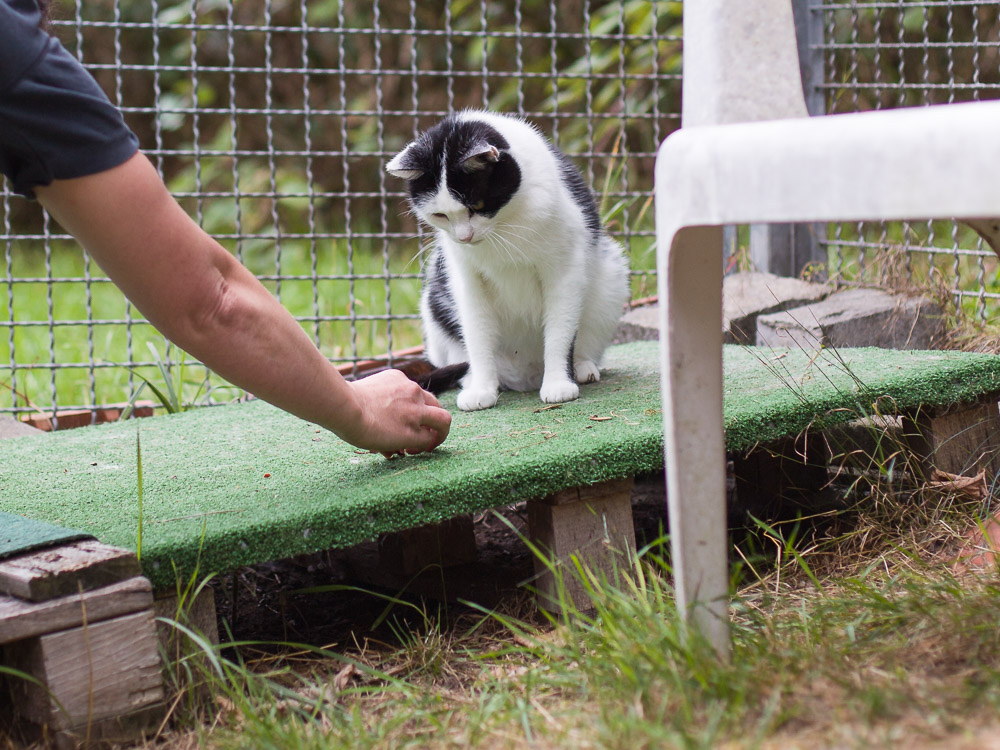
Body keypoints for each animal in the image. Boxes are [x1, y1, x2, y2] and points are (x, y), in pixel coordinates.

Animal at [386, 111, 628, 414]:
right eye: (440, 215)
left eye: (477, 205)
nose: (464, 237)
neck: (503, 226)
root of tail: (525, 376)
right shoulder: (467, 279)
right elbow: (477, 334)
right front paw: (482, 388)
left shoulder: (564, 271)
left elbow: (560, 331)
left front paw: (558, 383)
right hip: (434, 306)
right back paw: (472, 379)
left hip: (611, 277)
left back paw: (583, 368)